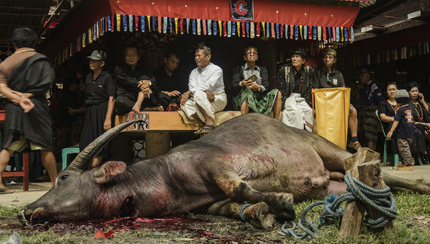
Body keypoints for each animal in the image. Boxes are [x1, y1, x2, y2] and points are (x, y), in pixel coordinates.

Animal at [19, 114, 430, 229]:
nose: (27, 210)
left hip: (325, 148)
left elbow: (240, 188)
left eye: (63, 178)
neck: (165, 178)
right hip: (331, 185)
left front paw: (280, 200)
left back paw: (422, 185)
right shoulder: (206, 205)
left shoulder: (214, 165)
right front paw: (260, 212)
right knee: (352, 180)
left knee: (364, 168)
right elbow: (232, 205)